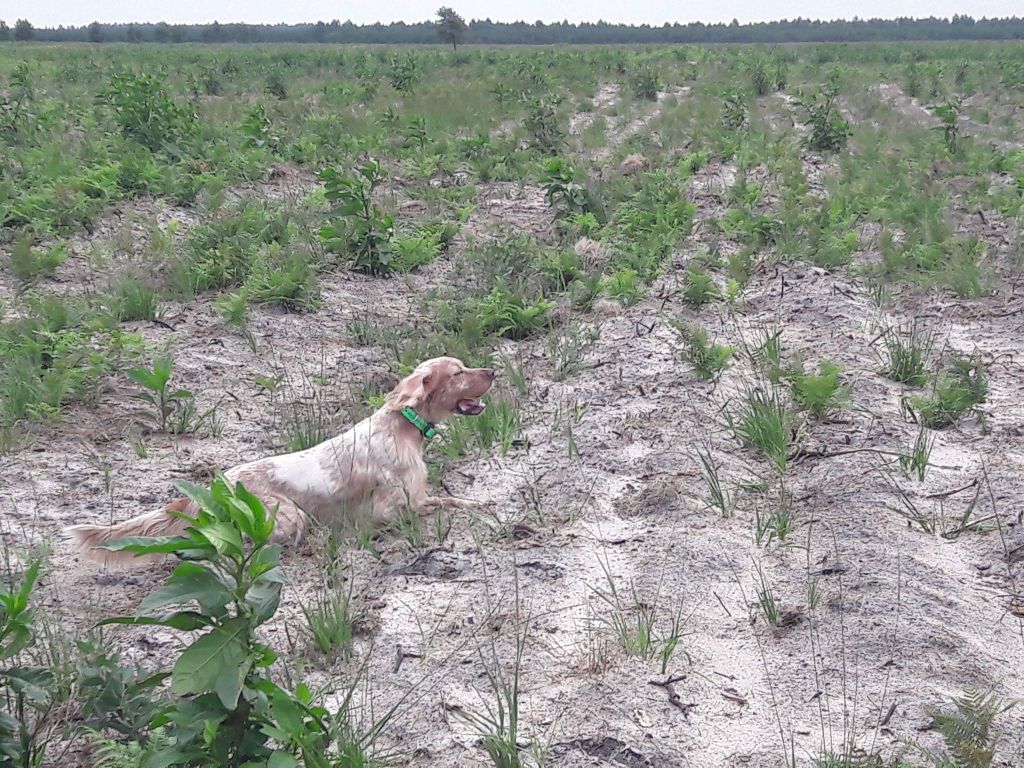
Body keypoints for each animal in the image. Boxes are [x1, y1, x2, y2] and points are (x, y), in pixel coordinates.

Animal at [64, 356, 495, 565]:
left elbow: (451, 497)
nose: (492, 370)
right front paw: (485, 504)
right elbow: (449, 502)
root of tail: (213, 487)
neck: (403, 426)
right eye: (458, 372)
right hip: (288, 516)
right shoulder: (391, 509)